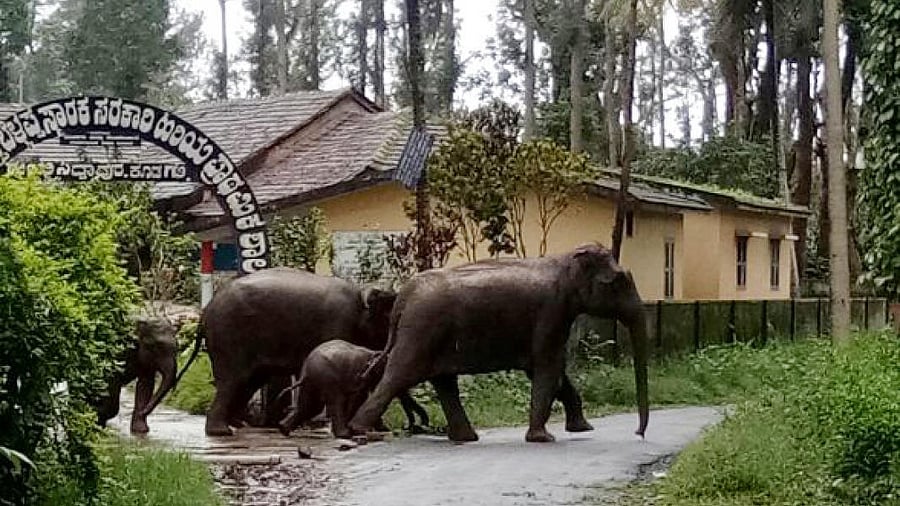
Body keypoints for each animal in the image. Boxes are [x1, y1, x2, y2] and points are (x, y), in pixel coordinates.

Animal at [154, 267, 404, 437]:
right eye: (392, 319)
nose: (387, 429)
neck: (363, 297)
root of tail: (204, 313)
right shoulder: (338, 323)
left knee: (249, 381)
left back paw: (239, 425)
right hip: (229, 337)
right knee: (233, 380)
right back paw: (222, 431)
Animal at [276, 340, 430, 438]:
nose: (408, 427)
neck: (374, 353)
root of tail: (306, 371)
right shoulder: (359, 376)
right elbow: (359, 398)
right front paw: (356, 430)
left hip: (312, 381)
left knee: (310, 406)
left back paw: (283, 429)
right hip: (327, 377)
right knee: (334, 401)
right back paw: (344, 435)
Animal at [350, 243, 650, 443]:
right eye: (619, 281)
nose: (638, 433)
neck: (564, 259)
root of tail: (403, 297)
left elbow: (550, 372)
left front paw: (582, 429)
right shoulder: (550, 312)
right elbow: (547, 367)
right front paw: (544, 438)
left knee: (443, 382)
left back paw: (466, 438)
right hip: (422, 330)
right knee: (400, 376)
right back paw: (359, 431)